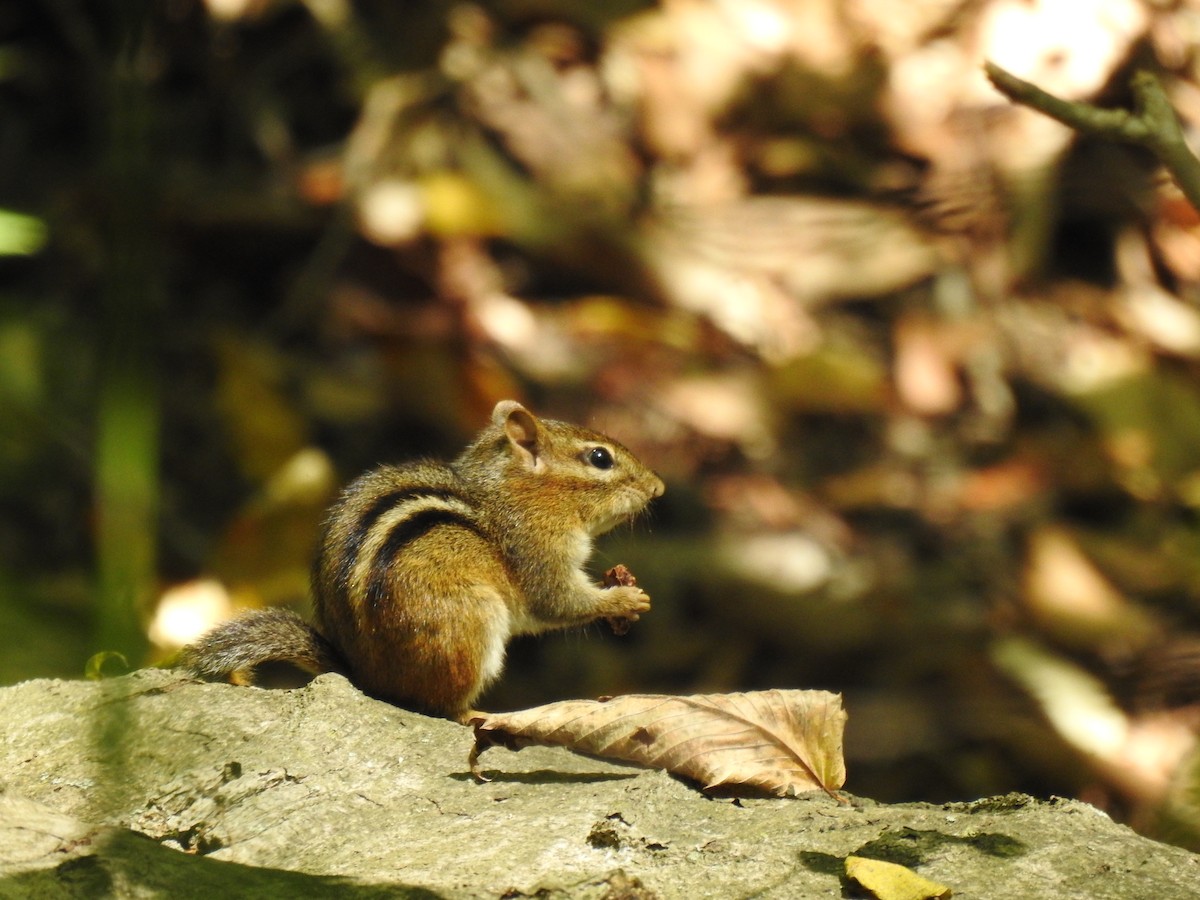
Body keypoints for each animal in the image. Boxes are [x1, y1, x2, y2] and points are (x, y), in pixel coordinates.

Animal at [180, 400, 665, 722]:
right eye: (599, 458)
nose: (658, 487)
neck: (514, 494)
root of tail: (370, 682)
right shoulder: (538, 549)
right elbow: (558, 602)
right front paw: (624, 600)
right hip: (470, 623)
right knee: (442, 706)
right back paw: (476, 716)